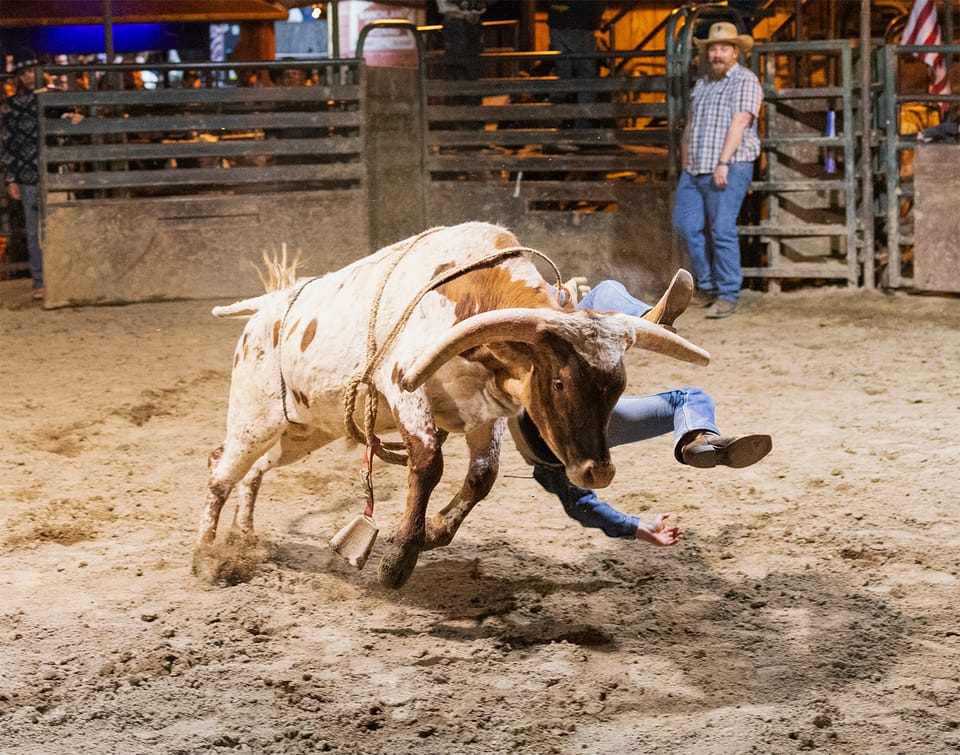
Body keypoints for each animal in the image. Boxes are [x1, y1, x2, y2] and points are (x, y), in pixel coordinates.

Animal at [196, 222, 710, 588]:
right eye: (560, 381)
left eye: (618, 387)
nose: (597, 472)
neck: (468, 293)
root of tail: (267, 310)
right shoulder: (407, 391)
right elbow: (428, 464)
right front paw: (398, 559)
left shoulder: (487, 411)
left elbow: (482, 474)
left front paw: (435, 531)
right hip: (254, 416)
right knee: (221, 471)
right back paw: (206, 556)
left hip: (303, 430)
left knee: (253, 469)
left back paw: (245, 537)